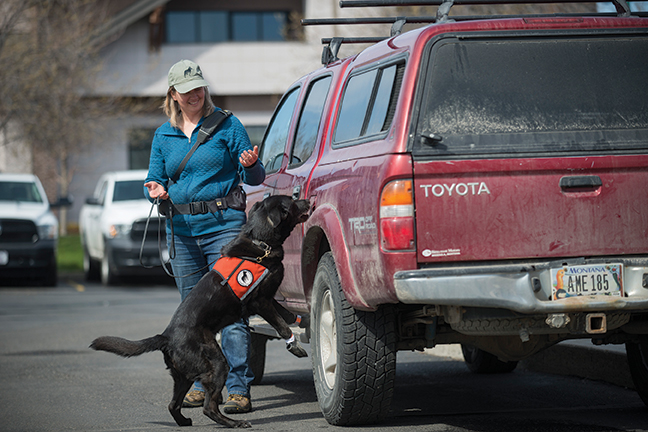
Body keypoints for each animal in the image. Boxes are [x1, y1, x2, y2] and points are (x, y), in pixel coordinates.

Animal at [91, 197, 312, 428]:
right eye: (293, 201)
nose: (307, 200)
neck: (260, 242)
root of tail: (166, 337)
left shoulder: (269, 299)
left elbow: (287, 314)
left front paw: (303, 319)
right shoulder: (261, 302)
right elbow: (282, 324)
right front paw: (294, 345)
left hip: (183, 377)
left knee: (173, 405)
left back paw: (184, 421)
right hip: (216, 363)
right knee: (208, 407)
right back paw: (233, 423)